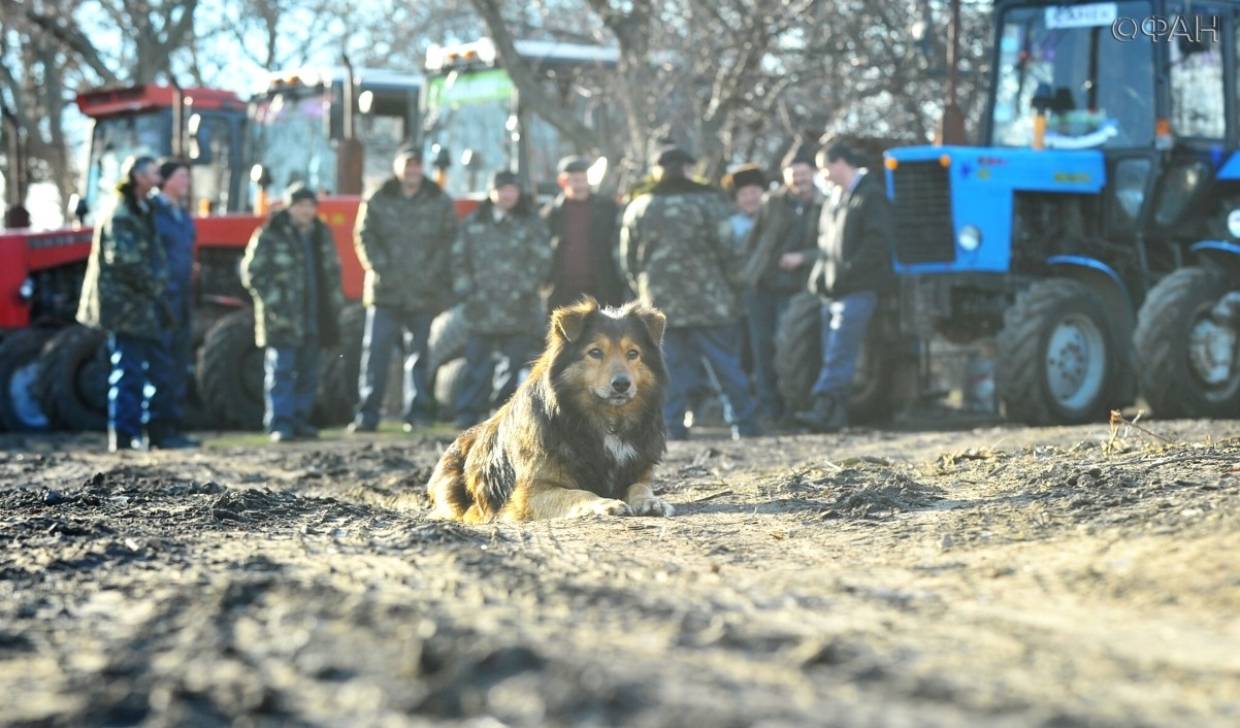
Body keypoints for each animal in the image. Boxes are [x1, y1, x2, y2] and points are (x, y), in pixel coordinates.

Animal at [429, 297, 674, 523]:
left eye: (633, 354)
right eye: (595, 352)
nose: (622, 384)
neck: (606, 421)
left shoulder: (639, 471)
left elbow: (639, 486)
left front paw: (651, 501)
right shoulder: (530, 493)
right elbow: (579, 493)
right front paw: (605, 503)